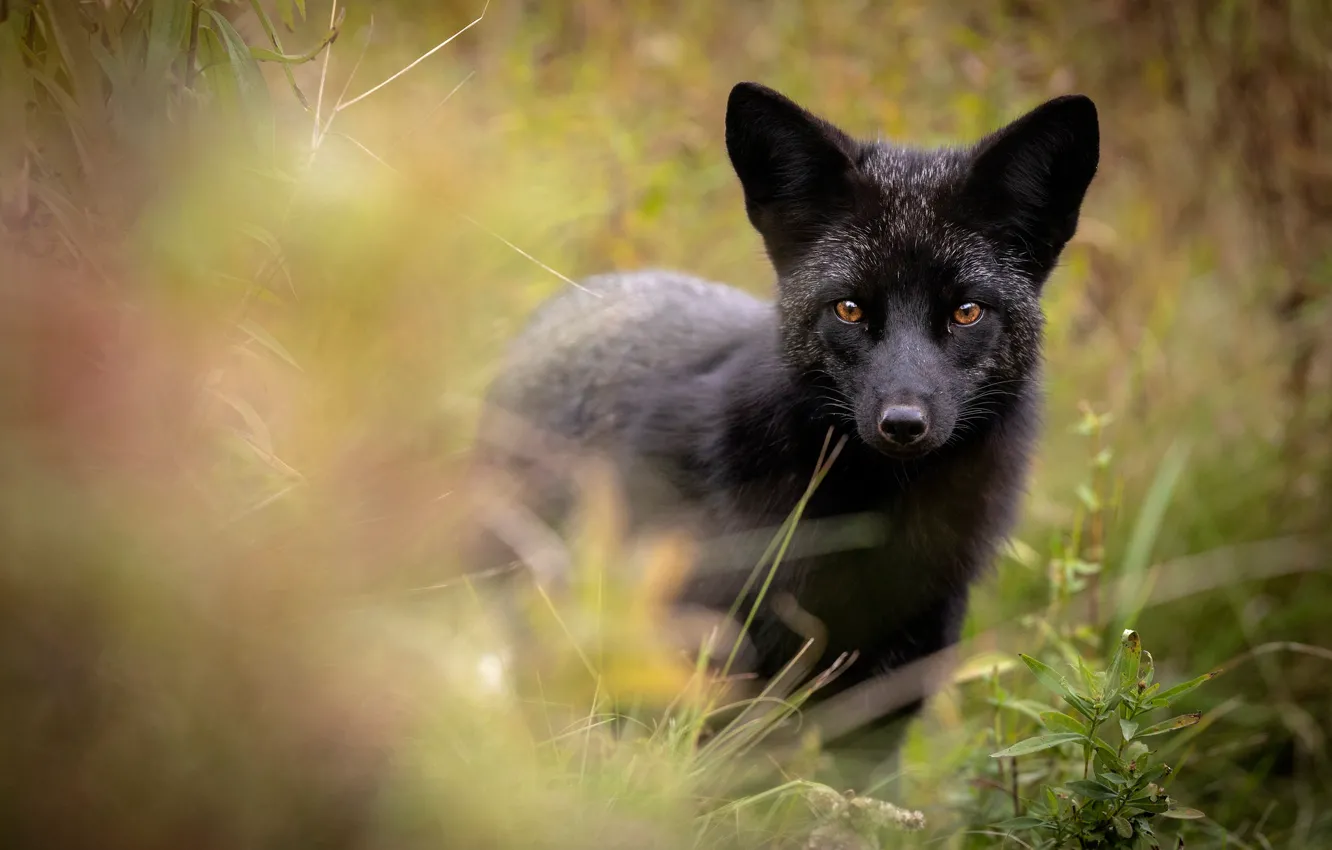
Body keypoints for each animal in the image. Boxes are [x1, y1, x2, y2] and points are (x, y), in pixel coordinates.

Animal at [470, 82, 1099, 762]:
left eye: (966, 312)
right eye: (848, 309)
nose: (904, 423)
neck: (870, 531)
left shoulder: (884, 706)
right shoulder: (713, 690)